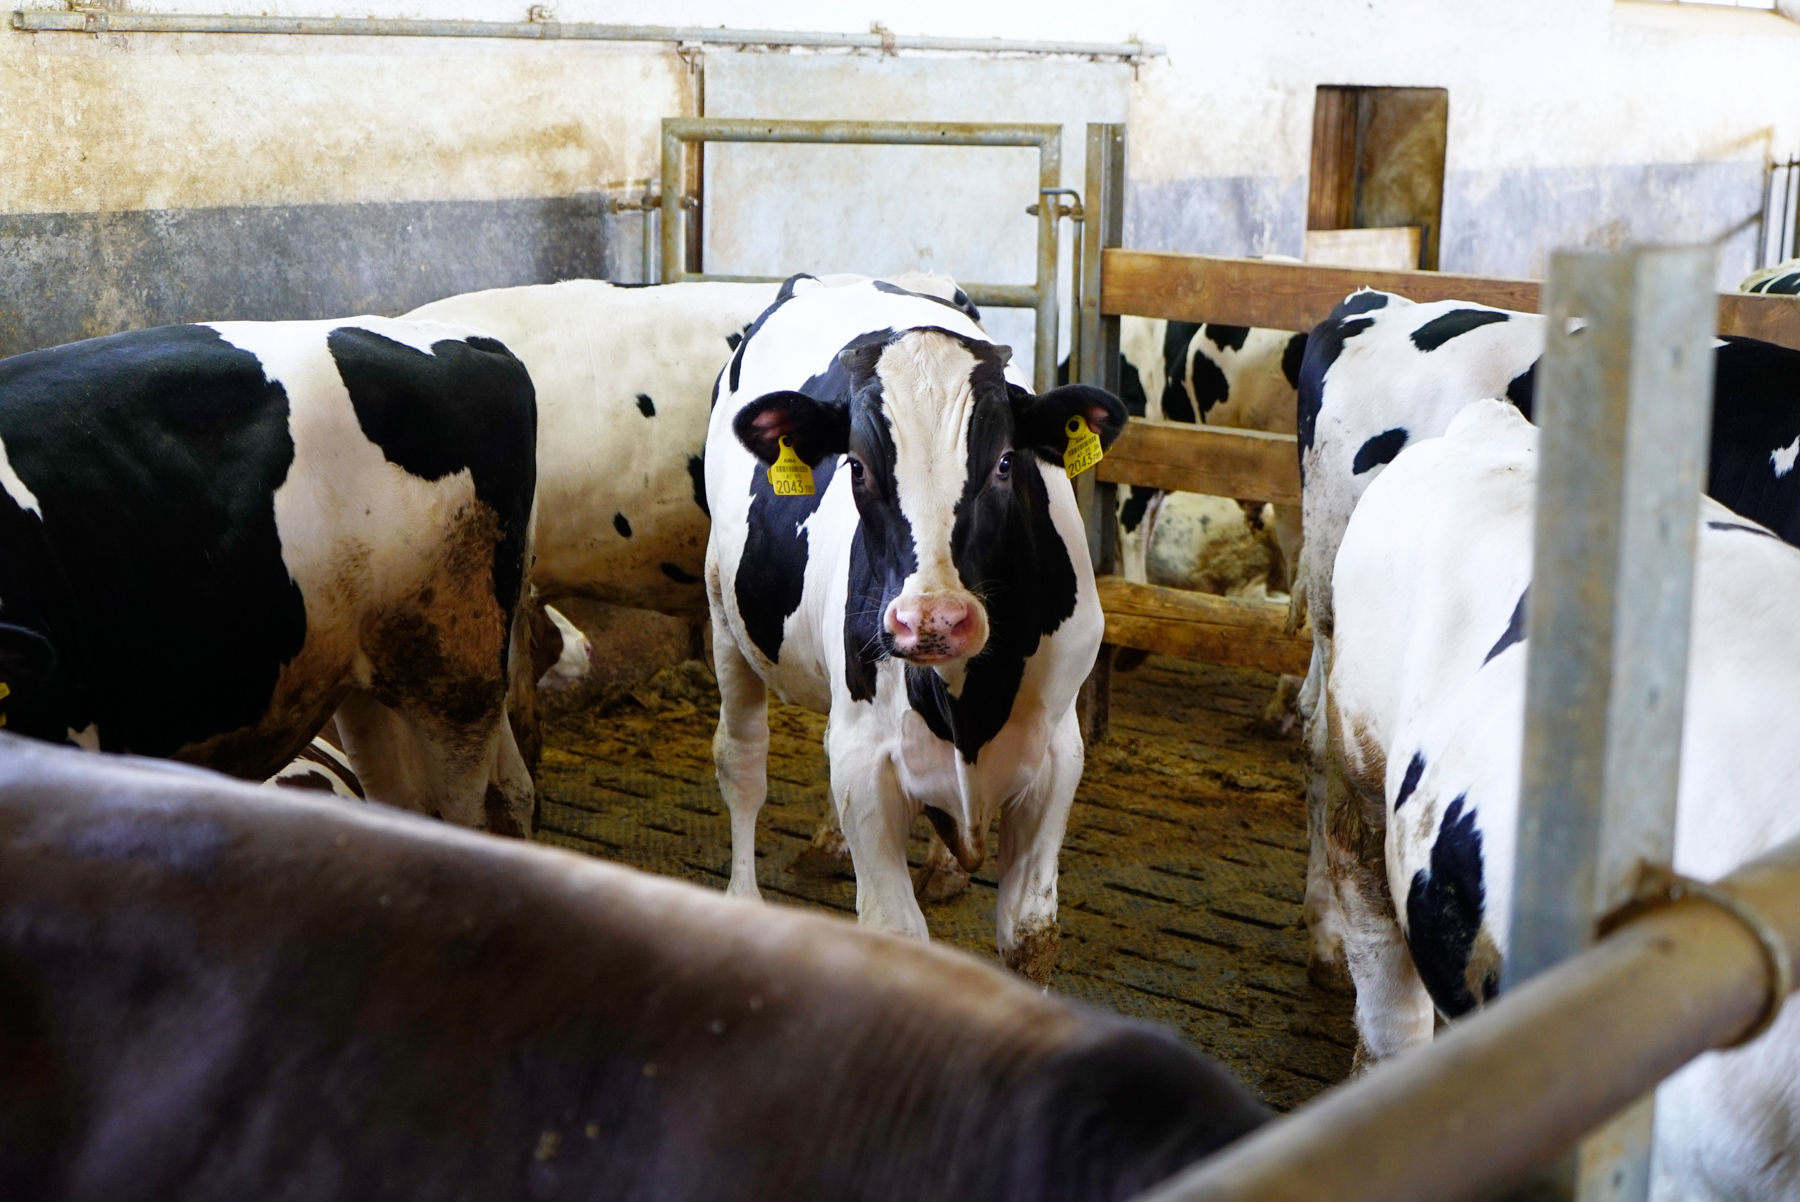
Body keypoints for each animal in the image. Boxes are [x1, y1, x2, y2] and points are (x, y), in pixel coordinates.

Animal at [705, 269, 1116, 978]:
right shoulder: (865, 760)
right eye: (857, 467)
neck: (969, 696)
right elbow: (893, 931)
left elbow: (1030, 934)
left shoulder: (1057, 753)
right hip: (726, 622)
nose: (933, 619)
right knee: (743, 765)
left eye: (1005, 462)